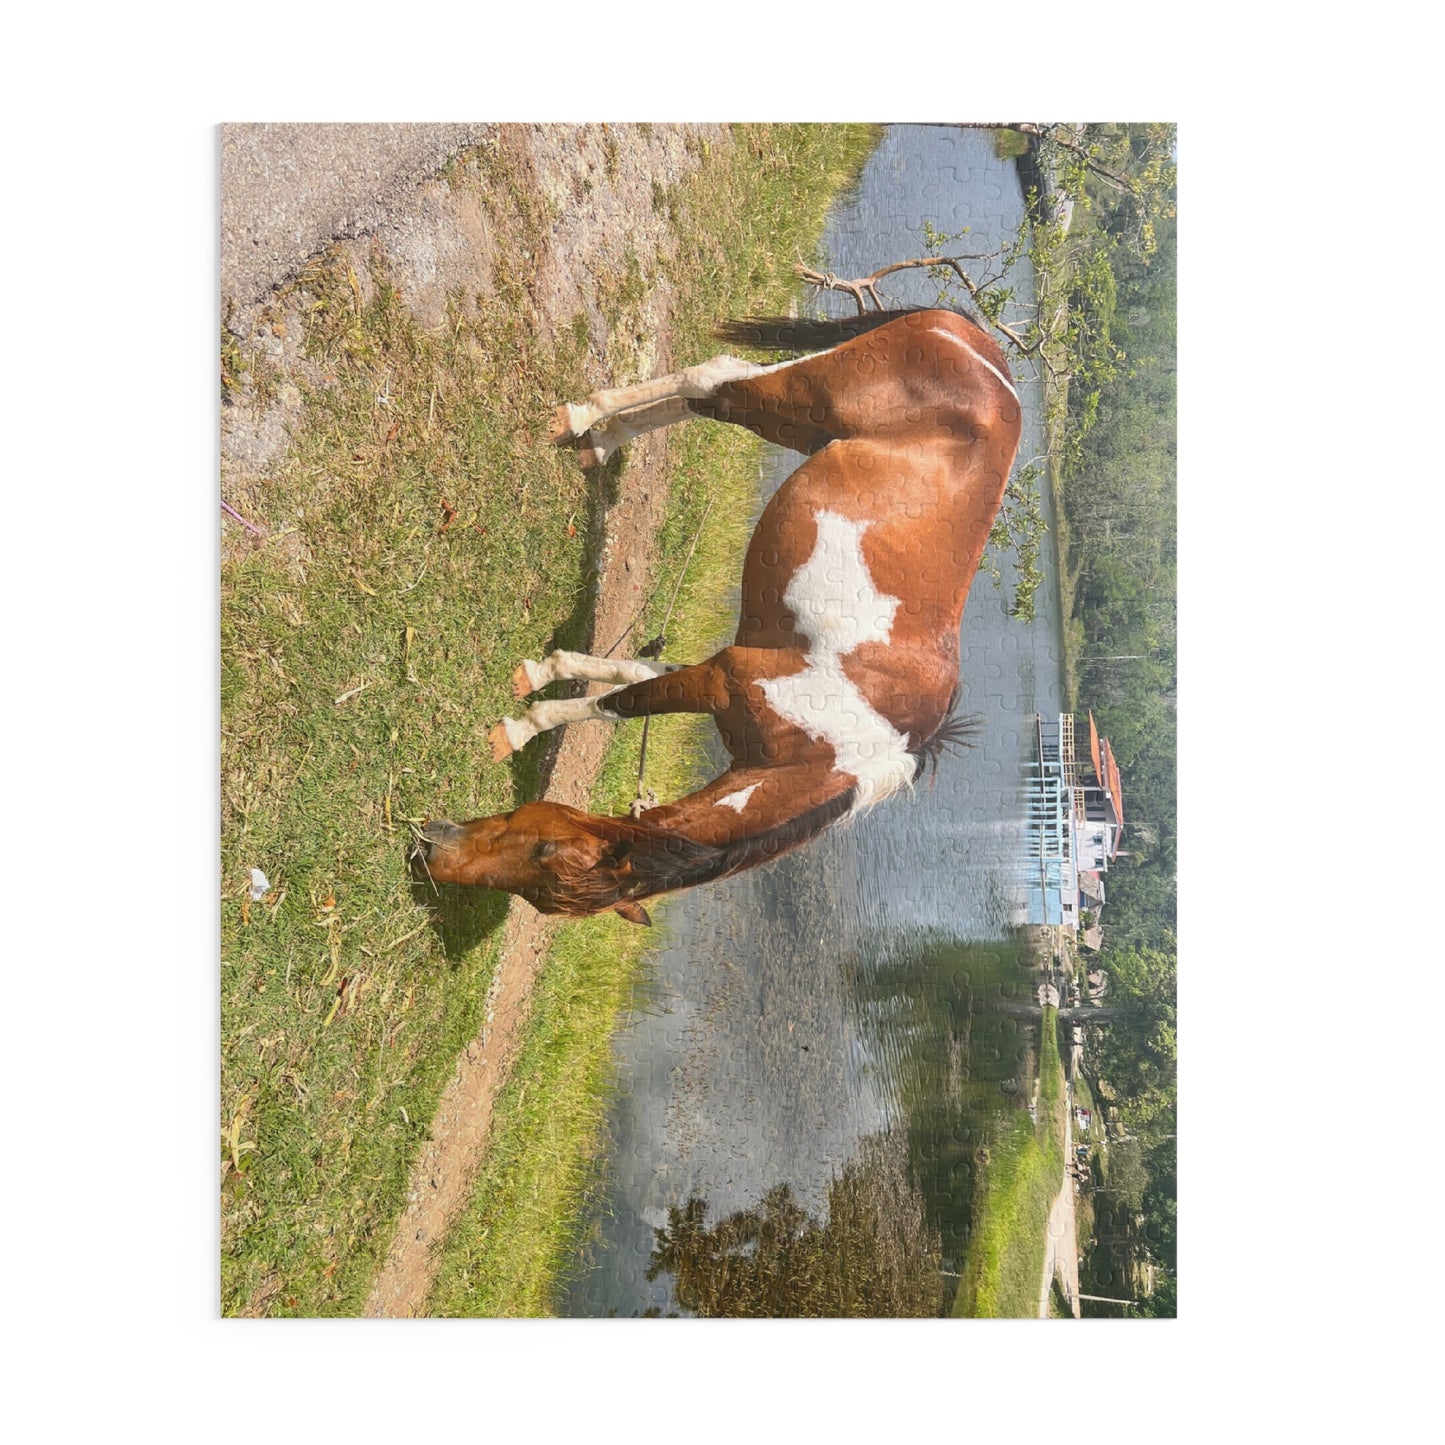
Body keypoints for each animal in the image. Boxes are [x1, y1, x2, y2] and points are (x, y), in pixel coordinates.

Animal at [416, 306, 1023, 925]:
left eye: (544, 862)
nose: (431, 852)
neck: (832, 751)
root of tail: (980, 348)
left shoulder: (720, 670)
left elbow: (627, 684)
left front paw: (542, 681)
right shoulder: (721, 680)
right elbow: (620, 703)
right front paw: (520, 726)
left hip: (791, 422)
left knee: (704, 394)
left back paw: (601, 442)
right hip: (795, 397)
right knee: (711, 379)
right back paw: (582, 417)